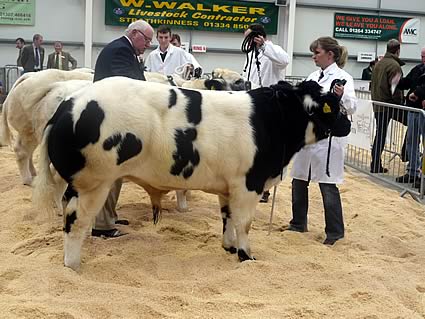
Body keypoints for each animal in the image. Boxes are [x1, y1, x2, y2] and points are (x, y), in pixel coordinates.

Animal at [32, 76, 342, 272]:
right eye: (335, 107)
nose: (348, 124)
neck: (273, 119)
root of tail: (70, 103)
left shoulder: (229, 187)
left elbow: (227, 218)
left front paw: (229, 248)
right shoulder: (248, 184)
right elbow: (244, 223)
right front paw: (247, 257)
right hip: (93, 183)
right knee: (75, 222)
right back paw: (73, 267)